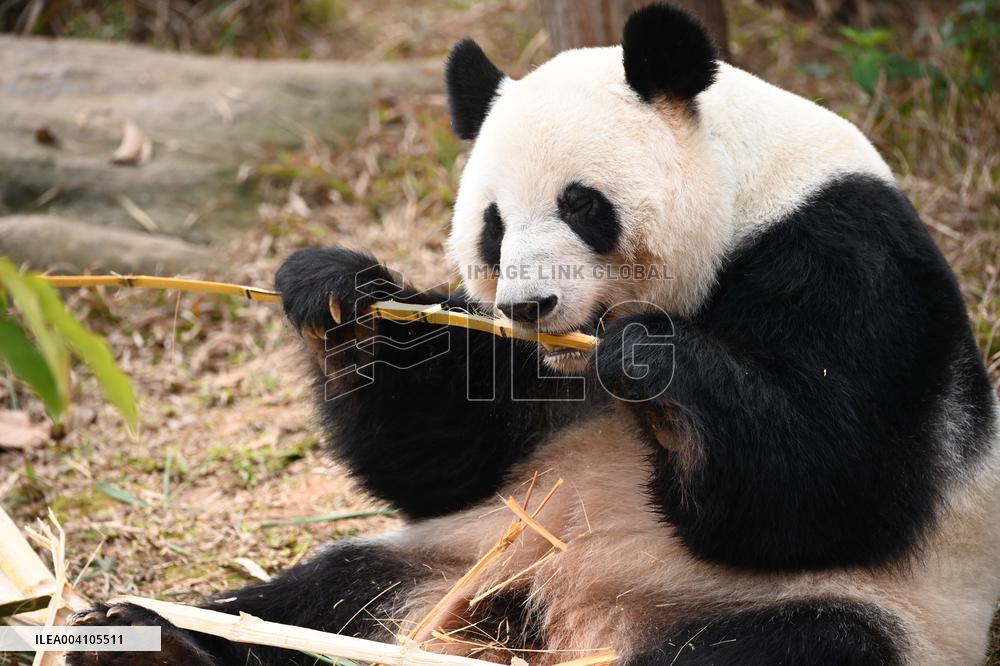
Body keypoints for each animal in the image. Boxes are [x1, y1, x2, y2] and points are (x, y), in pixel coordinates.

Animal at [69, 3, 999, 665]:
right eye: (492, 226)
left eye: (583, 206)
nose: (527, 306)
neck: (747, 192)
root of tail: (569, 627)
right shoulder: (519, 383)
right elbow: (440, 455)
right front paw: (339, 297)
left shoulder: (846, 255)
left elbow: (831, 480)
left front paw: (652, 360)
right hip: (459, 559)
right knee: (315, 601)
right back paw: (143, 642)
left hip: (857, 611)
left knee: (799, 642)